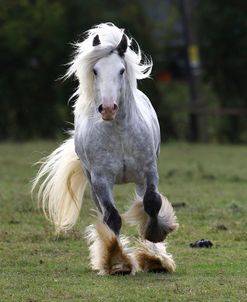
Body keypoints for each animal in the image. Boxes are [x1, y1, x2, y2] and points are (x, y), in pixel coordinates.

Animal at [33, 22, 179, 274]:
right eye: (95, 71)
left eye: (121, 70)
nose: (109, 108)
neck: (119, 133)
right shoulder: (101, 179)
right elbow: (112, 218)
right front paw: (118, 262)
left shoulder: (149, 171)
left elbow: (152, 204)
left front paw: (155, 250)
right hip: (93, 184)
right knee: (105, 214)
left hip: (139, 180)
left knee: (145, 203)